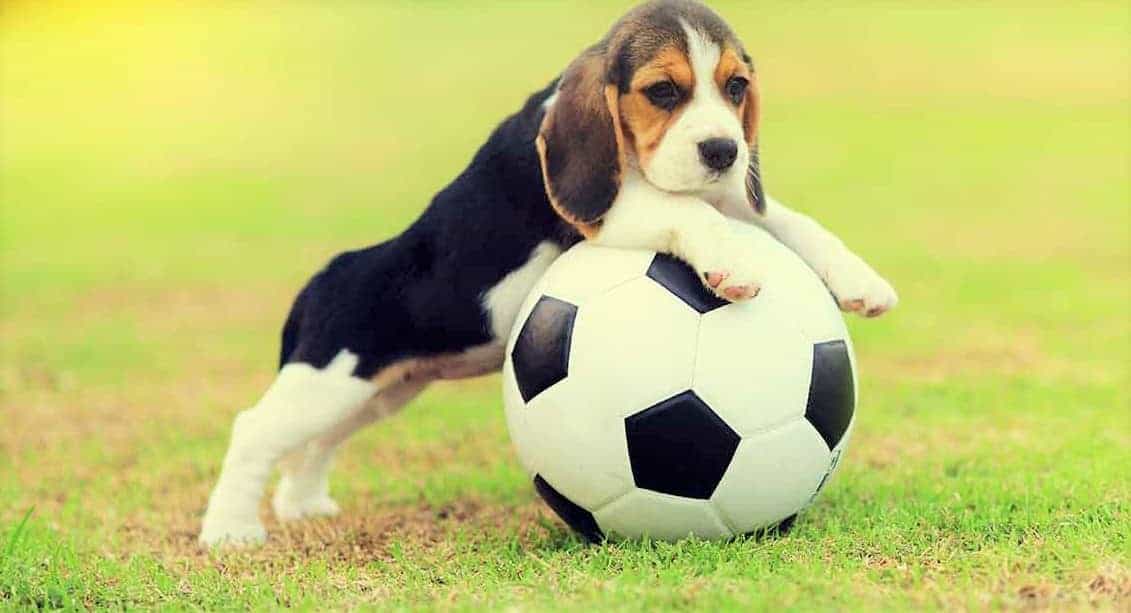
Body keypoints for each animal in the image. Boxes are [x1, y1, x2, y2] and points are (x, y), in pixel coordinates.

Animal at [199, 0, 895, 547]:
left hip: (377, 392)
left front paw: (857, 277)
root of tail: (322, 279)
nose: (724, 150)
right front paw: (734, 261)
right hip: (328, 379)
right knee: (255, 431)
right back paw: (231, 530)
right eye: (663, 92)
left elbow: (783, 217)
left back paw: (302, 505)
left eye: (736, 87)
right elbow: (688, 210)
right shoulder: (615, 208)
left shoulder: (723, 192)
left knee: (316, 445)